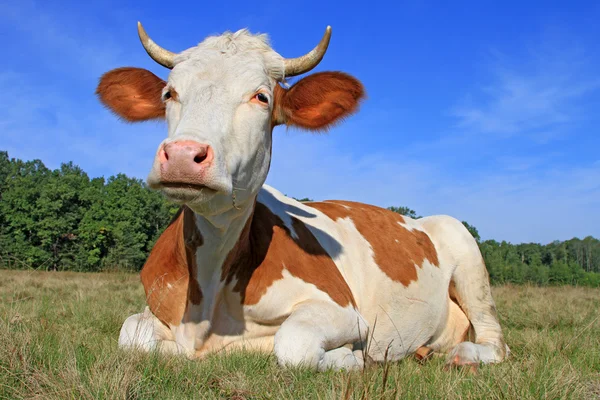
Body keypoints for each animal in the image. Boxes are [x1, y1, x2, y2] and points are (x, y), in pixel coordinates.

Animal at [96, 22, 508, 372]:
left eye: (261, 97)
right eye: (170, 93)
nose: (183, 154)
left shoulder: (343, 309)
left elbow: (294, 343)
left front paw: (349, 358)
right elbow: (130, 334)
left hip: (467, 254)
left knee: (494, 340)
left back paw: (463, 354)